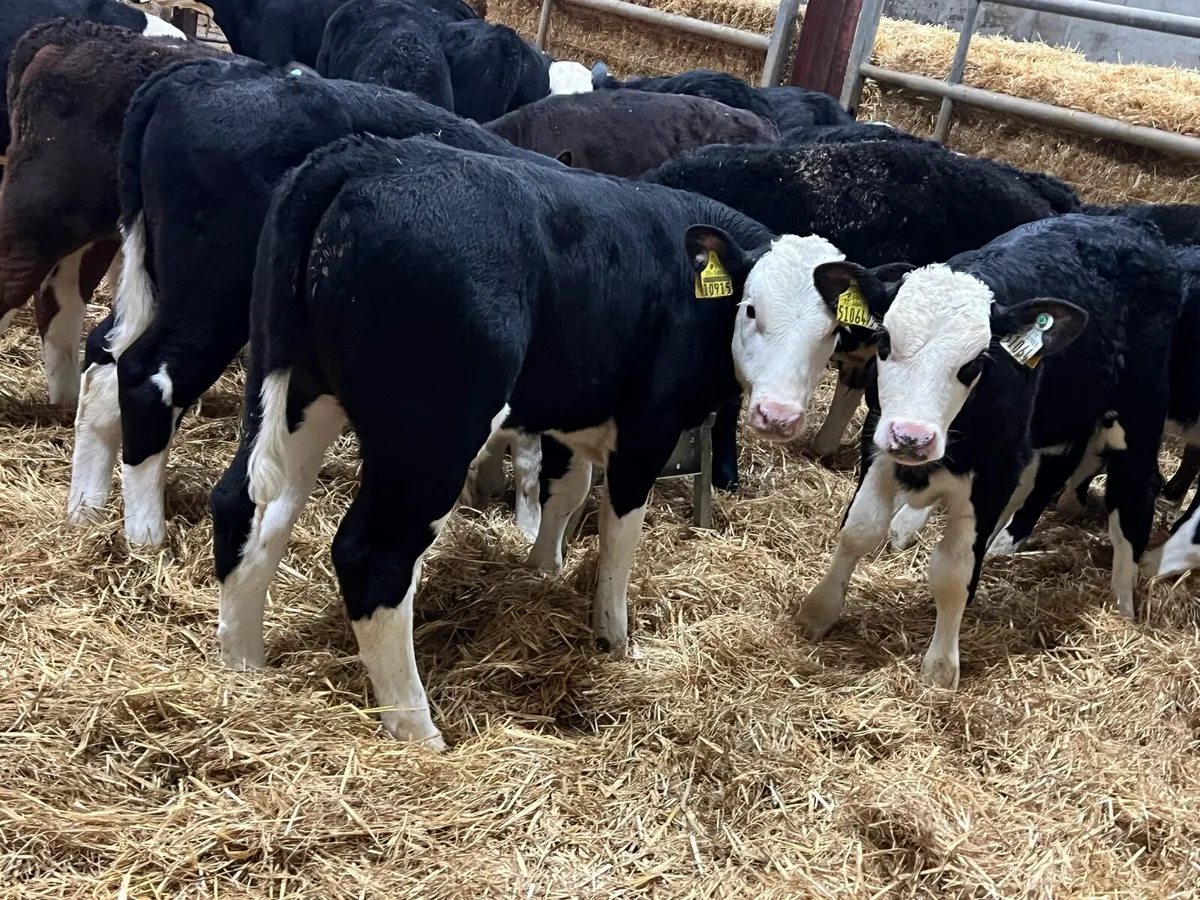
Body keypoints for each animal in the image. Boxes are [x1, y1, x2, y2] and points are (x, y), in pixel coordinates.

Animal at [67, 57, 561, 547]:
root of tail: (197, 74)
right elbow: (535, 455)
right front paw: (530, 526)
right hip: (212, 292)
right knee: (147, 374)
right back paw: (146, 535)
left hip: (157, 278)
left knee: (104, 357)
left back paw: (86, 510)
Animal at [211, 132, 776, 746]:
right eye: (751, 309)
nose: (781, 411)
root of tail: (363, 155)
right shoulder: (648, 428)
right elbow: (618, 534)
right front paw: (613, 638)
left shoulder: (571, 414)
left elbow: (565, 491)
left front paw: (543, 569)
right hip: (430, 436)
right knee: (372, 554)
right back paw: (419, 731)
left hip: (297, 391)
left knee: (248, 506)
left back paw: (245, 671)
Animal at [792, 215, 1177, 690]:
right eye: (884, 343)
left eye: (974, 364)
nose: (912, 437)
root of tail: (1131, 223)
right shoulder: (878, 438)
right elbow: (859, 529)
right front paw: (819, 611)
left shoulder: (994, 469)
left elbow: (953, 571)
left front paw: (941, 668)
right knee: (1049, 474)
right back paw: (997, 540)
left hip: (1137, 414)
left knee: (1133, 497)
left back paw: (1123, 605)